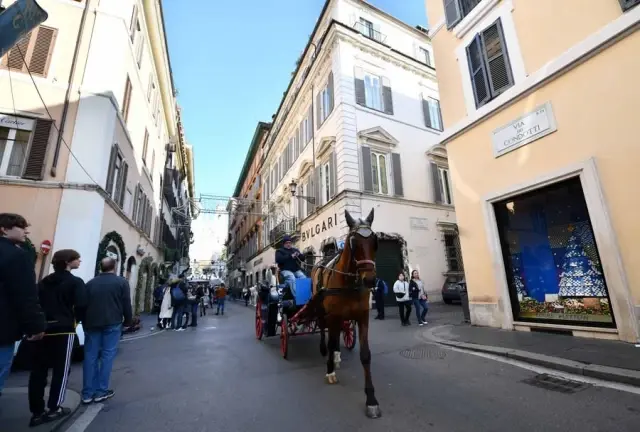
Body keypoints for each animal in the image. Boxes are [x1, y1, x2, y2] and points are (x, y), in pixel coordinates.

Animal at [310, 208, 380, 418]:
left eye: (375, 241)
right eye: (354, 243)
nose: (370, 280)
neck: (349, 282)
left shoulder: (363, 317)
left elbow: (365, 355)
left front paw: (371, 399)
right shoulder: (332, 315)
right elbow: (331, 340)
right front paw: (330, 371)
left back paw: (337, 355)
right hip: (321, 309)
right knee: (323, 329)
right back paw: (326, 352)